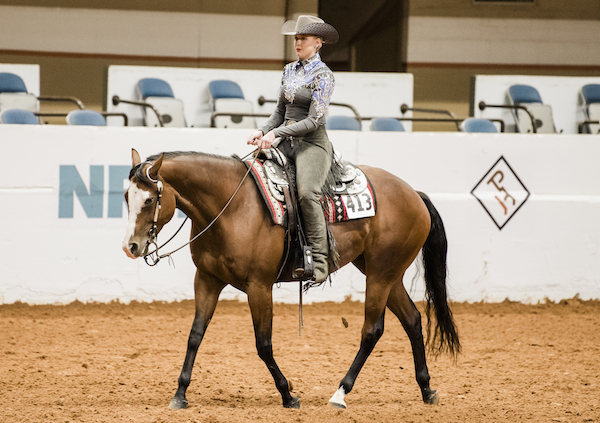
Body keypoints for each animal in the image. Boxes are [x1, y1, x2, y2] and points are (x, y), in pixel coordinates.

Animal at [120, 148, 460, 410]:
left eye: (149, 200)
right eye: (126, 196)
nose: (130, 247)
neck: (231, 207)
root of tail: (414, 194)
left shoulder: (259, 286)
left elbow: (263, 344)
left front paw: (288, 395)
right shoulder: (207, 280)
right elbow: (195, 335)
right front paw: (180, 394)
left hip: (380, 274)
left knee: (372, 330)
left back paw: (341, 392)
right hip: (386, 274)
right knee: (412, 319)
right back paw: (426, 389)